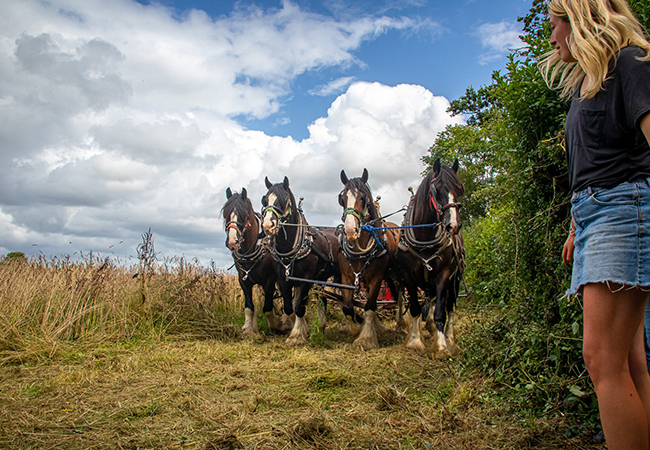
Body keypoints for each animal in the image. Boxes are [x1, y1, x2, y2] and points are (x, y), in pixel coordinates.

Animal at [222, 187, 289, 335]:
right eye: (225, 213)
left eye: (244, 214)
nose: (232, 242)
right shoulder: (243, 279)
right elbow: (249, 306)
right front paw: (248, 328)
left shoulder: (270, 280)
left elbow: (267, 307)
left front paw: (277, 324)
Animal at [261, 176, 340, 345]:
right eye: (265, 200)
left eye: (284, 200)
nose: (268, 225)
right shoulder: (283, 279)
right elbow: (289, 307)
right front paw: (303, 328)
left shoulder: (306, 279)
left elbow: (299, 307)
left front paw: (296, 336)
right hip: (321, 278)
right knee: (322, 299)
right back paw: (322, 326)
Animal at [338, 168, 400, 349]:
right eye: (342, 199)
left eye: (363, 197)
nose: (350, 230)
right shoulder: (347, 278)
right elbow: (348, 307)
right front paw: (356, 329)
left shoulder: (376, 279)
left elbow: (370, 307)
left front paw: (365, 338)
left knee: (401, 298)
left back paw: (402, 323)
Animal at [397, 158, 465, 353]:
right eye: (437, 189)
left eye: (459, 189)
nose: (453, 225)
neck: (424, 238)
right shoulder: (408, 277)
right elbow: (414, 308)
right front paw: (414, 340)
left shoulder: (443, 275)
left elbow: (440, 312)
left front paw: (441, 346)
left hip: (455, 279)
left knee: (450, 307)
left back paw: (448, 337)